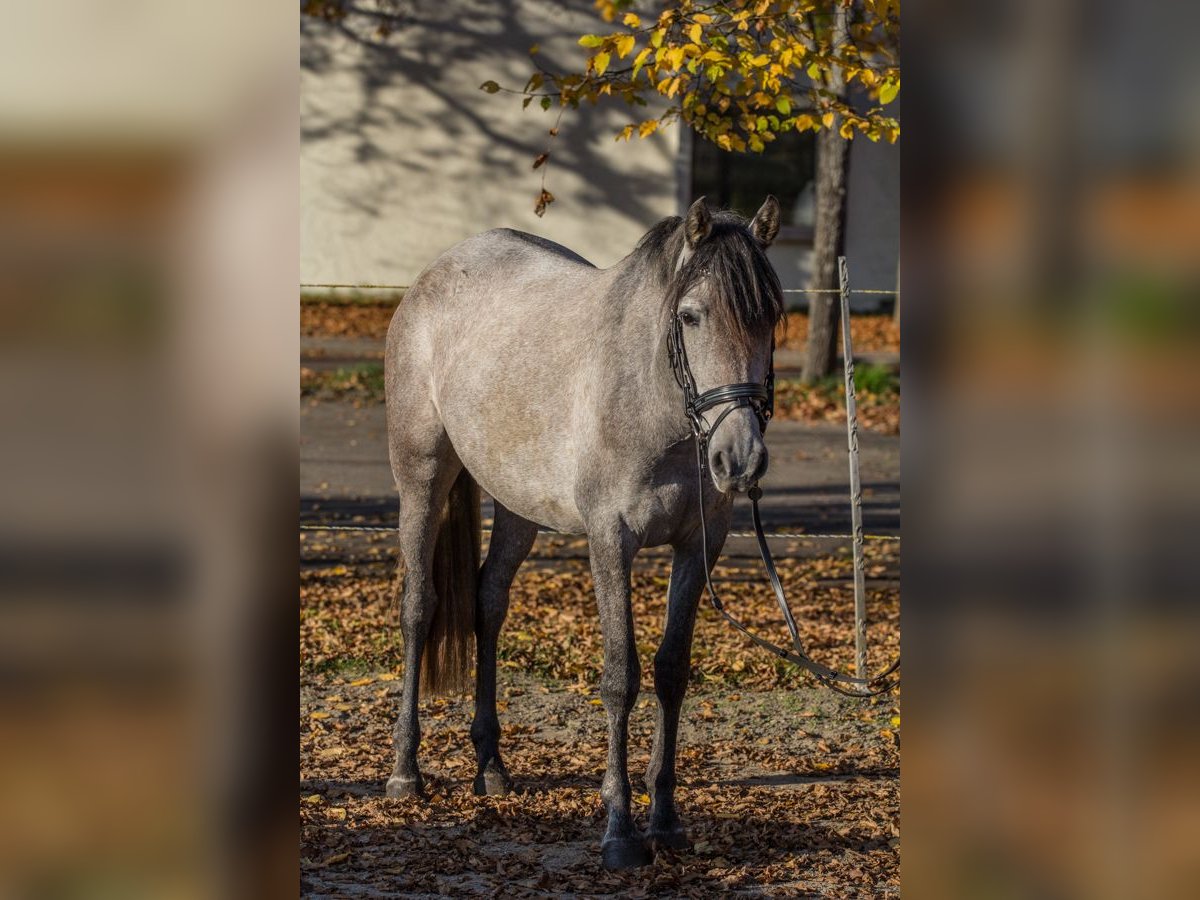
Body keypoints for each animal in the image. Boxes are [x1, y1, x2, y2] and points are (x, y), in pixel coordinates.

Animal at [379, 194, 782, 868]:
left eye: (772, 317)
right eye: (692, 316)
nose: (740, 460)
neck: (651, 401)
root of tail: (436, 273)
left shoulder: (699, 548)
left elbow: (671, 673)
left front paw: (666, 820)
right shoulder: (610, 542)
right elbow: (622, 678)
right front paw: (620, 829)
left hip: (517, 504)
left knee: (488, 601)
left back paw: (491, 766)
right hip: (422, 475)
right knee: (419, 607)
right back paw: (406, 770)